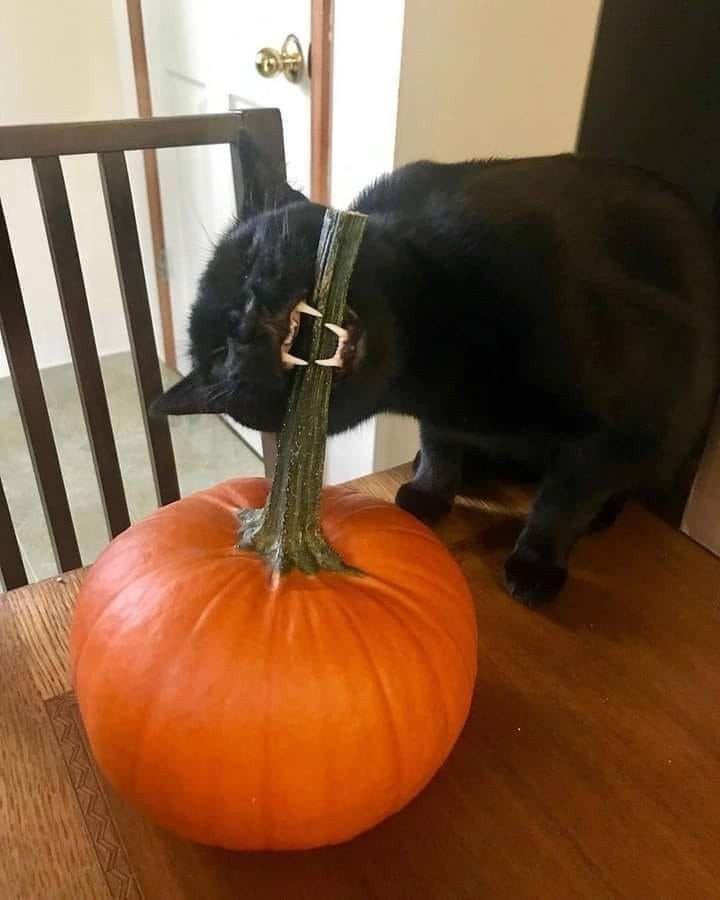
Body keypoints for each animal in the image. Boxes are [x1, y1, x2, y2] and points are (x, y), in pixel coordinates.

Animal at [153, 135, 720, 604]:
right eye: (218, 358)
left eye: (250, 257)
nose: (242, 318)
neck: (430, 367)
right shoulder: (442, 416)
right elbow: (441, 446)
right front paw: (428, 492)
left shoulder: (630, 419)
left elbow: (564, 499)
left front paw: (536, 563)